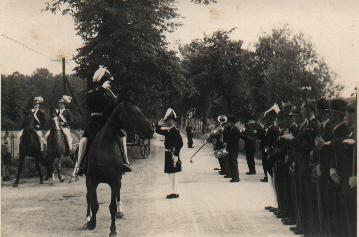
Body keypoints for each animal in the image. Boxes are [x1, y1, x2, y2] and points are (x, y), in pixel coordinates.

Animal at [85, 103, 154, 236]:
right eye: (134, 113)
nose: (151, 129)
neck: (103, 150)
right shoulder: (92, 180)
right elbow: (94, 203)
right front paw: (92, 223)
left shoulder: (114, 182)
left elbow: (112, 206)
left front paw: (113, 229)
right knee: (88, 197)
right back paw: (86, 219)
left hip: (119, 180)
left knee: (118, 194)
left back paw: (119, 212)